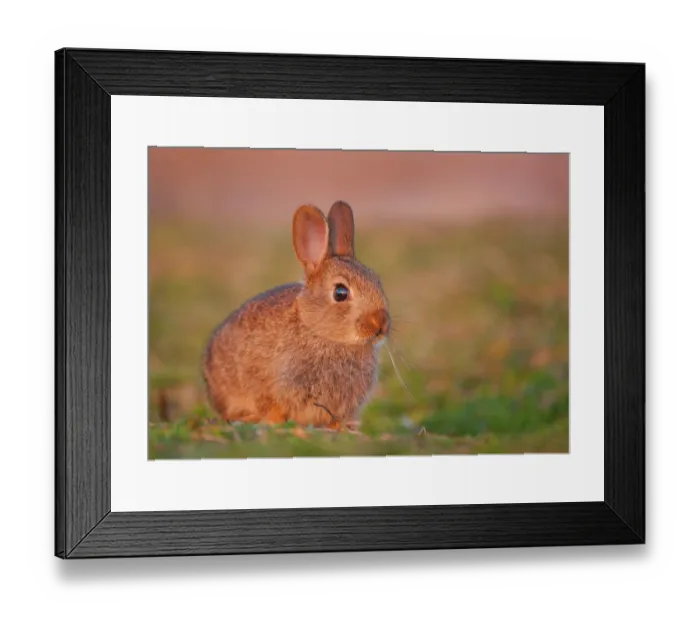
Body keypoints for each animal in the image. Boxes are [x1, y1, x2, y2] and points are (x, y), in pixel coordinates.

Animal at [203, 201, 391, 430]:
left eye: (377, 280)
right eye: (340, 293)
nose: (381, 323)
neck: (319, 332)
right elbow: (272, 406)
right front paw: (274, 422)